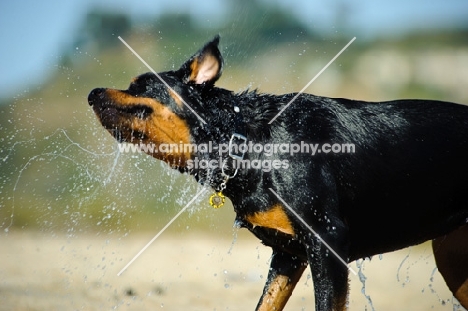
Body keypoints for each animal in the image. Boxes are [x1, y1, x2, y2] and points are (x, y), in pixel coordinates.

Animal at [88, 36, 468, 310]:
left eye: (140, 84)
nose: (92, 92)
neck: (248, 143)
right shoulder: (288, 255)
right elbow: (265, 305)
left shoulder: (328, 242)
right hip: (452, 259)